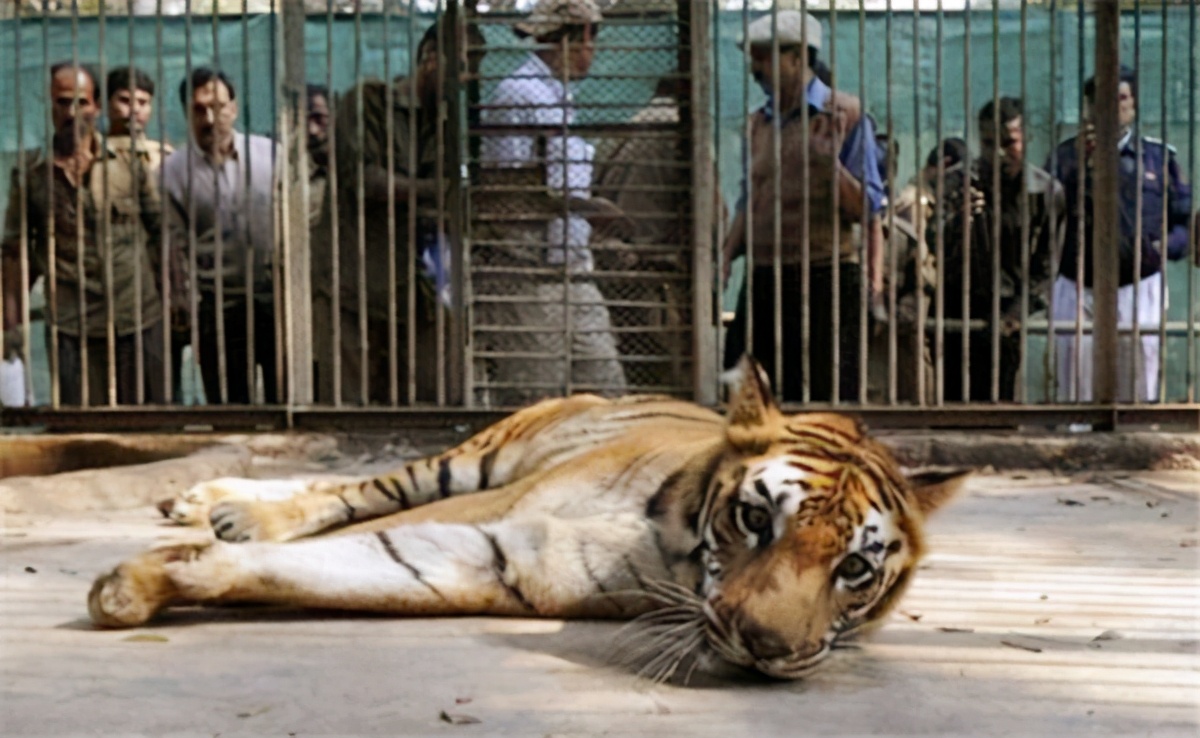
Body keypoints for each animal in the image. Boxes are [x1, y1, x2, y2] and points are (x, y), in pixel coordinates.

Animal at [87, 356, 968, 681]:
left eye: (854, 567)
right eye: (756, 518)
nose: (767, 650)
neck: (677, 547)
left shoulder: (489, 565)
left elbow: (328, 569)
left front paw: (150, 579)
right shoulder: (483, 512)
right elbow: (345, 528)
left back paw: (206, 505)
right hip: (470, 460)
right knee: (356, 488)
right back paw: (229, 506)